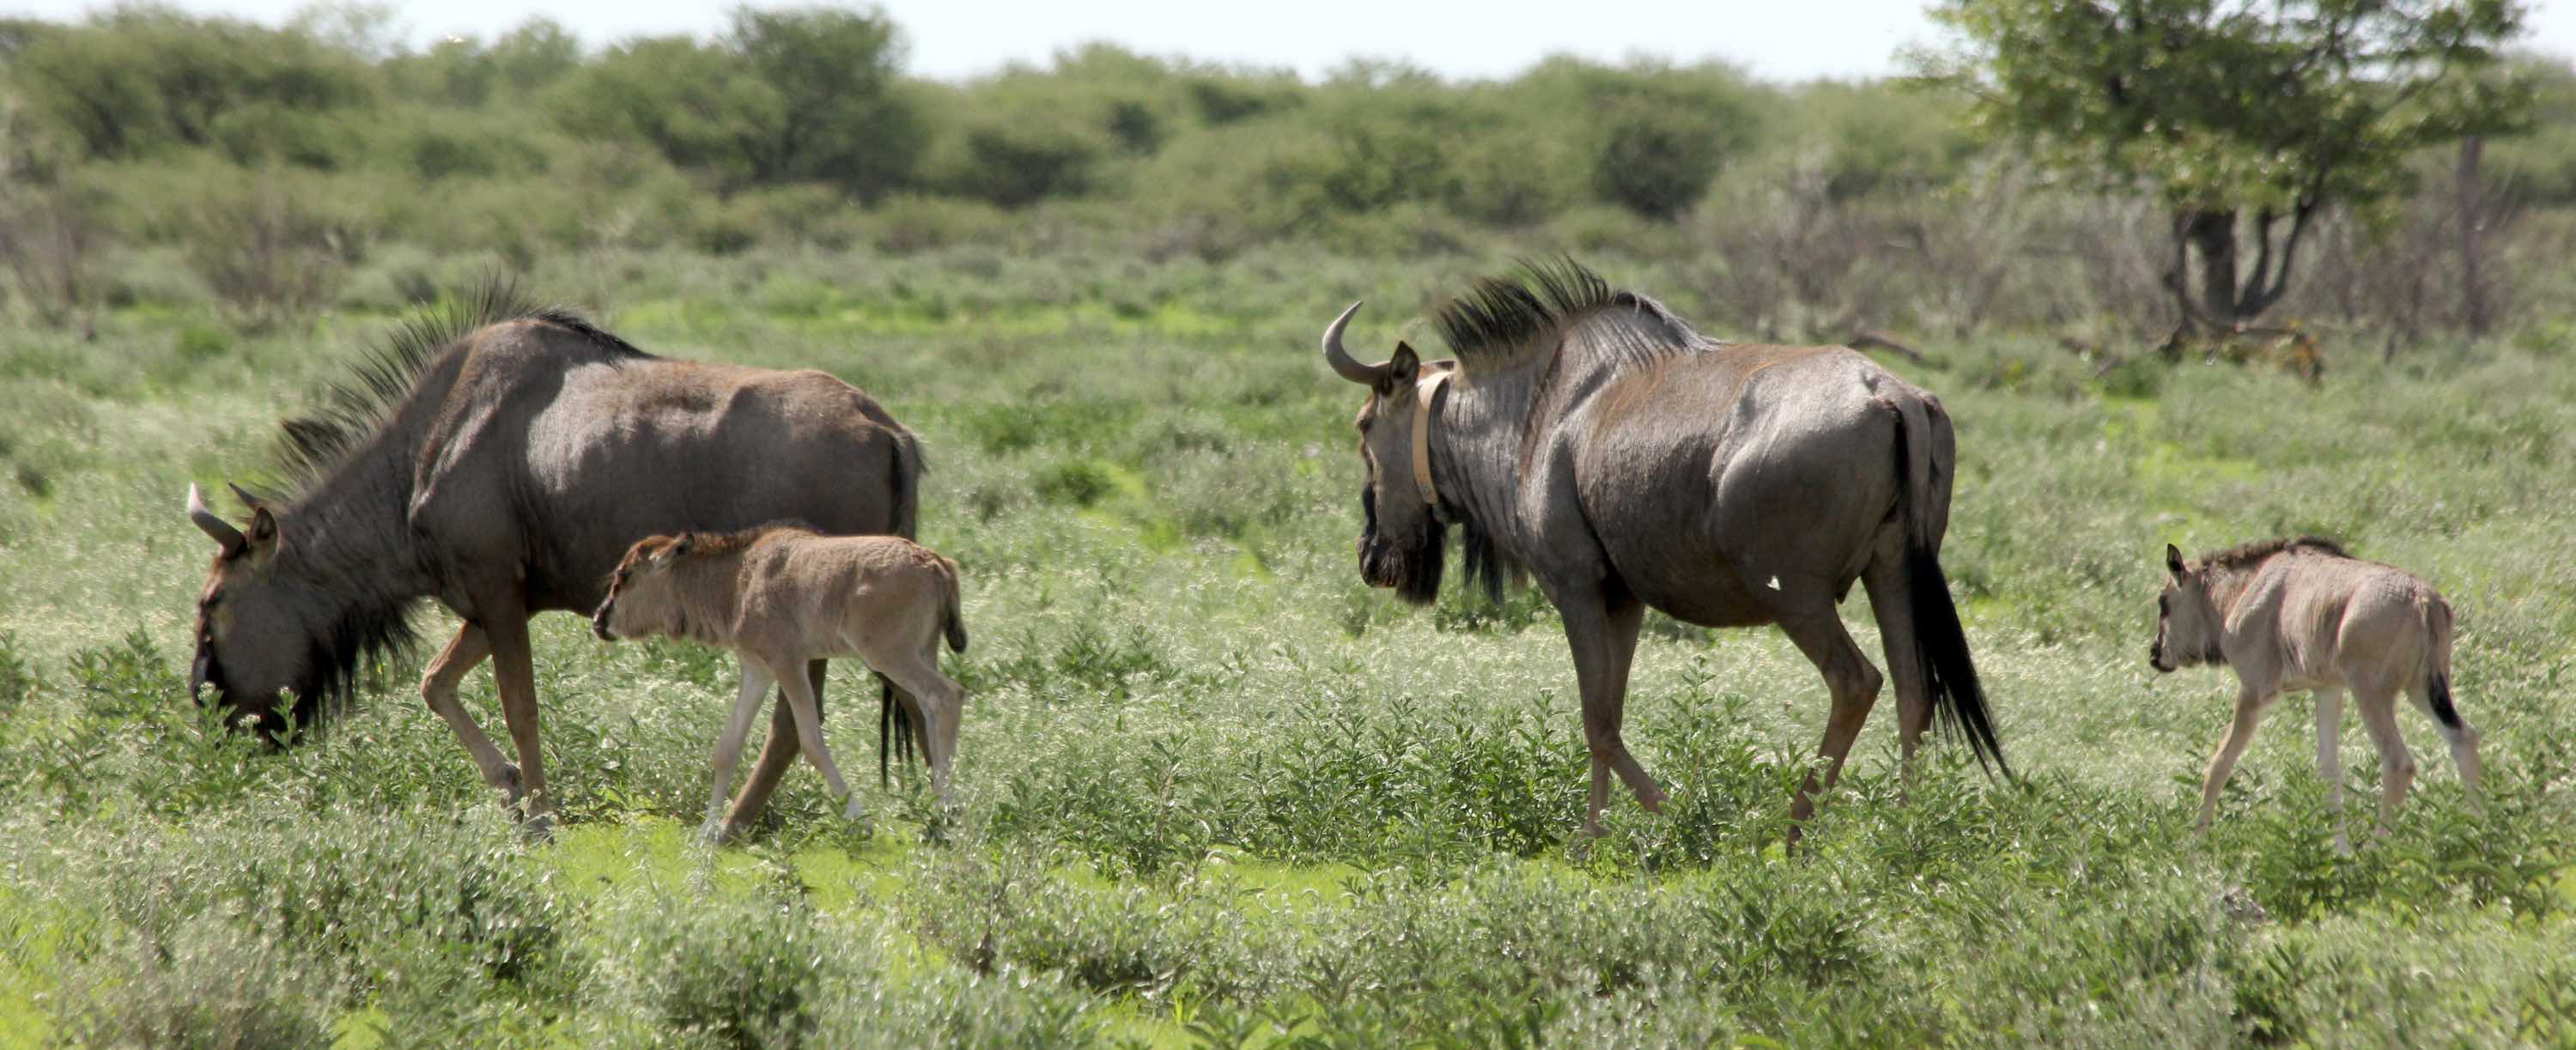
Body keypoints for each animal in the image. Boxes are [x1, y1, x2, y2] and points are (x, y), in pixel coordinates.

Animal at [592, 525, 974, 844]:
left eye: (625, 576)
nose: (599, 620)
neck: (738, 579)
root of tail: (934, 562)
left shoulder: (788, 663)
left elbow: (811, 742)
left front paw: (860, 820)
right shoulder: (756, 669)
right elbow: (727, 748)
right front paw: (706, 832)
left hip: (889, 655)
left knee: (947, 697)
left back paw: (945, 813)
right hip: (921, 652)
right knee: (929, 711)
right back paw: (940, 808)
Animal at [2143, 540, 2483, 854]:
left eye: (2164, 602)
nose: (2155, 653)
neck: (2248, 587)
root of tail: (2422, 598)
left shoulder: (2254, 691)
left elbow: (2219, 765)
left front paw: (2194, 852)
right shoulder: (2327, 690)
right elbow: (2329, 770)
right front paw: (2341, 853)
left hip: (2371, 693)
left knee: (2399, 763)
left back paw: (2375, 853)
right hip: (2422, 691)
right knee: (2463, 738)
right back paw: (2480, 831)